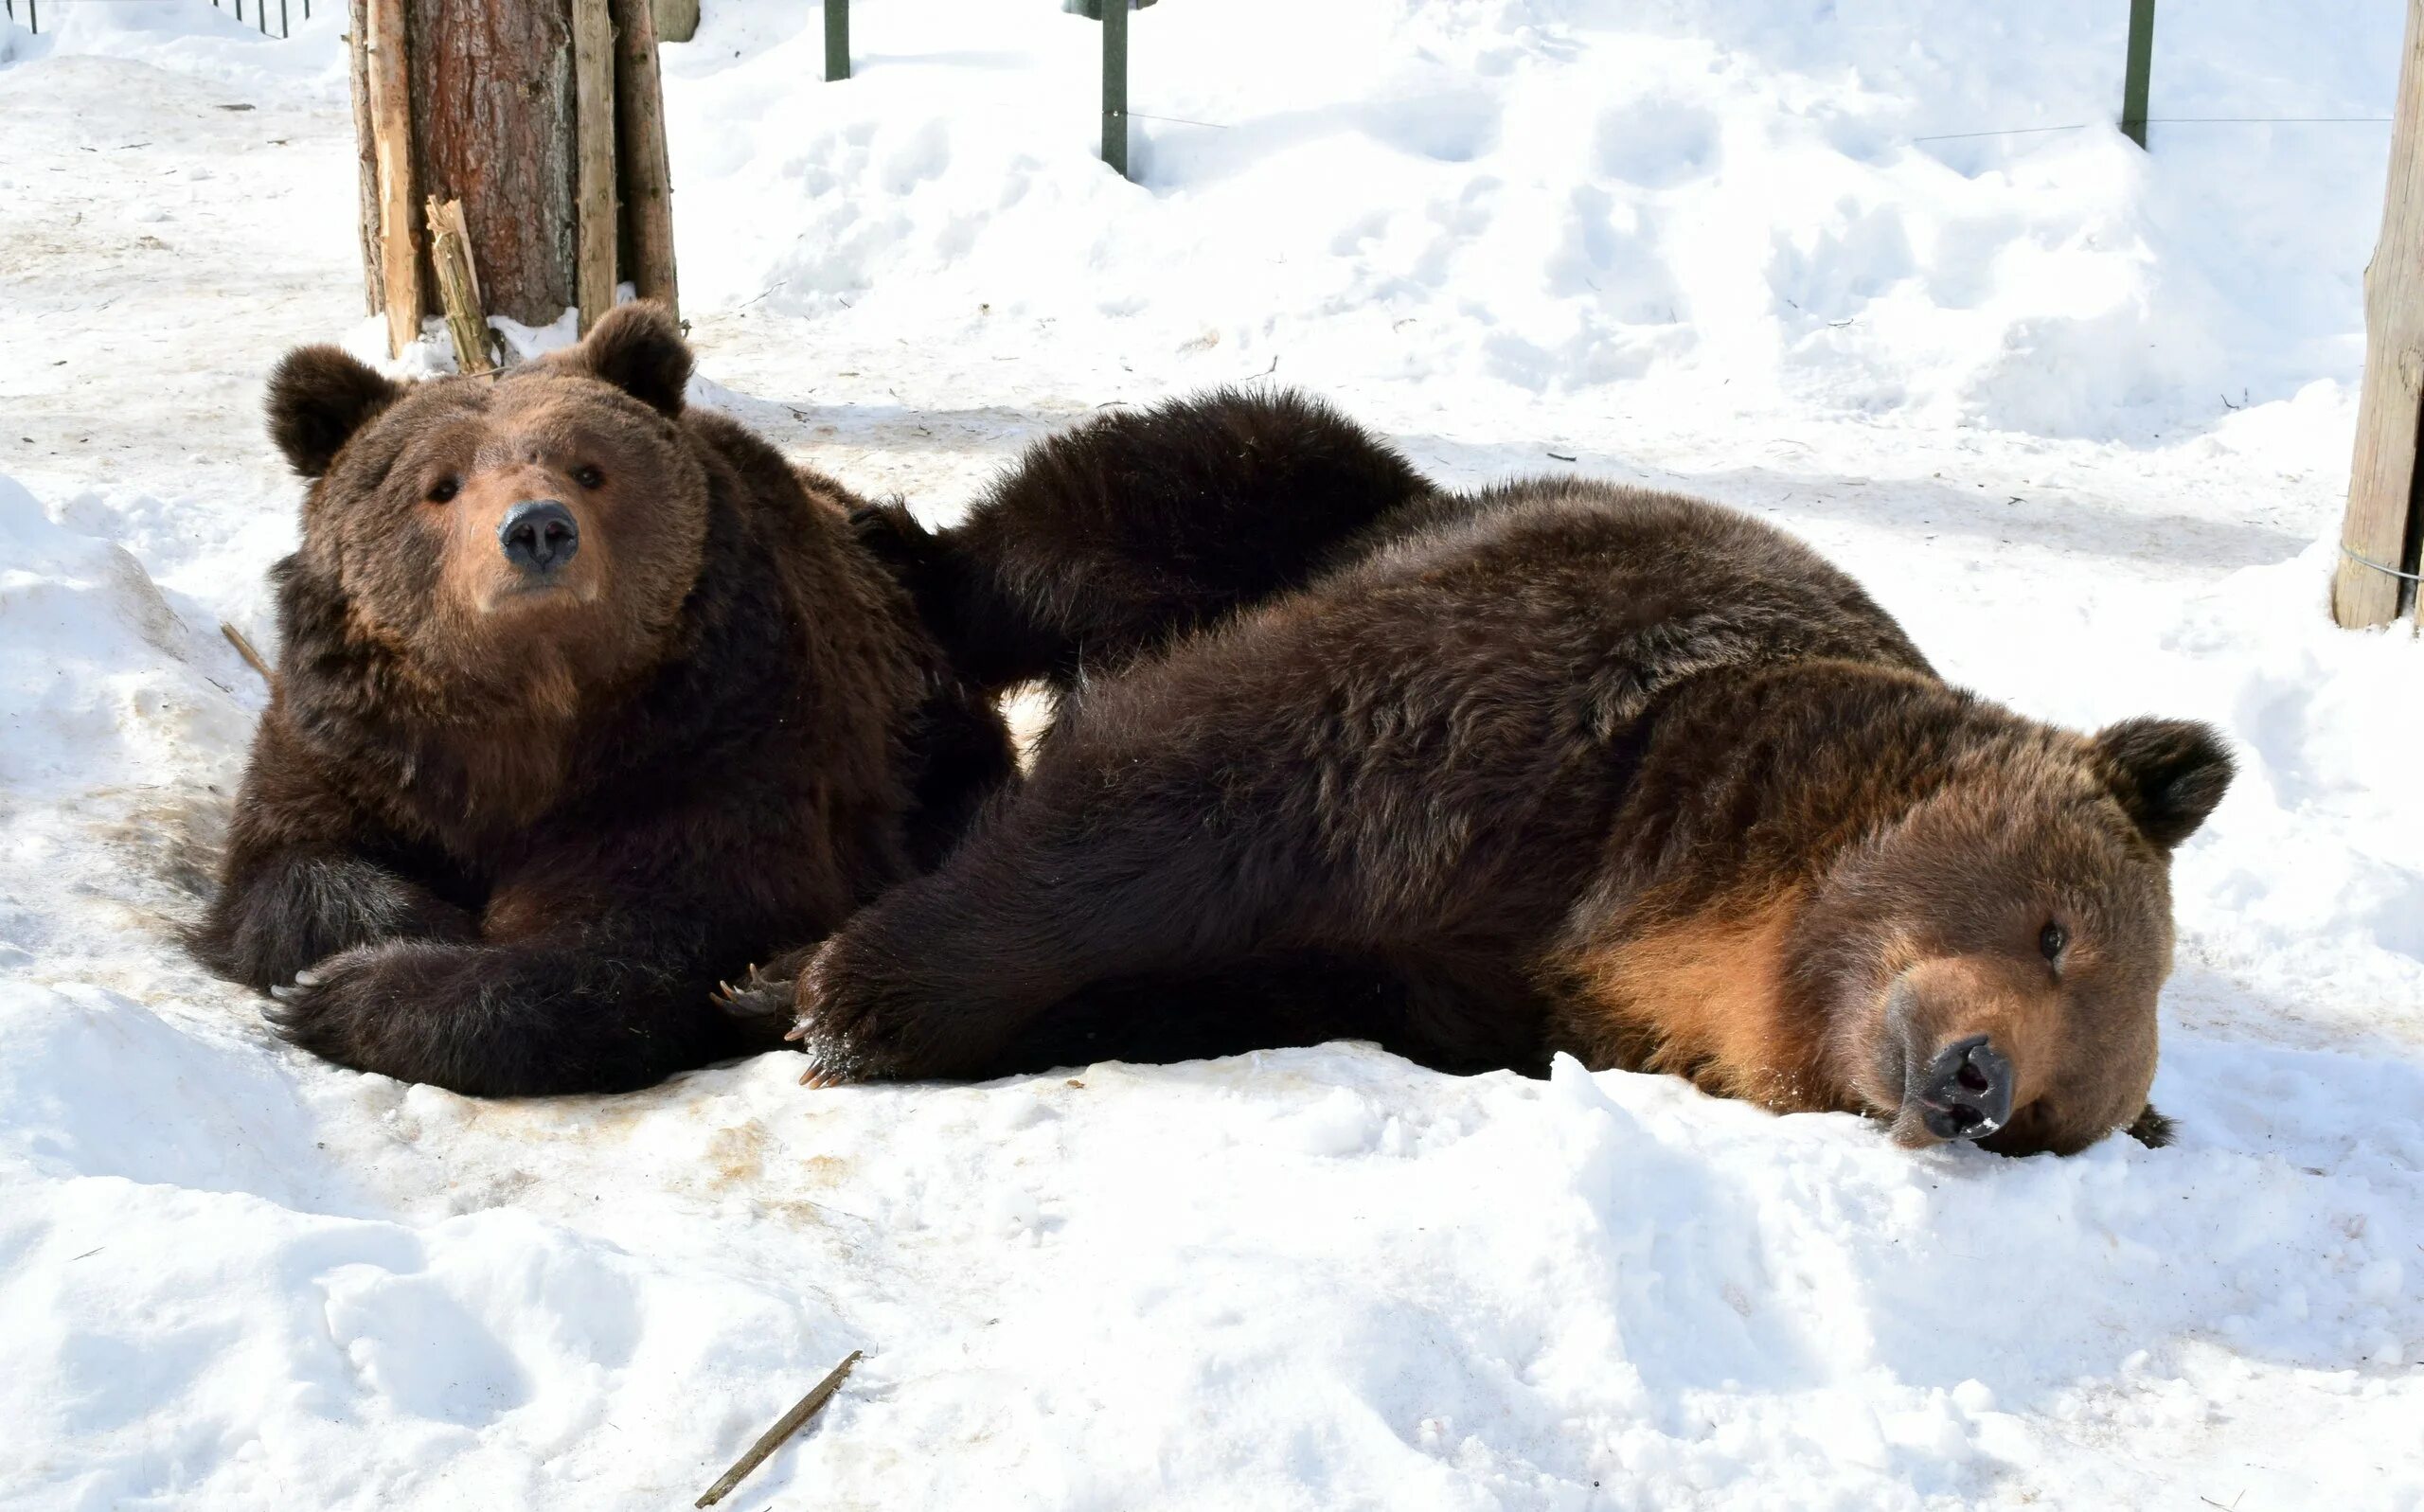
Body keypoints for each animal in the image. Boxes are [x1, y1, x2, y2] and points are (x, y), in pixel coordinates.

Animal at [193, 301, 1013, 1090]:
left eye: (588, 469)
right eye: (442, 484)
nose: (536, 528)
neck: (536, 714)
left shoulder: (708, 742)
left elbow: (647, 940)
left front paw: (343, 992)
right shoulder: (357, 741)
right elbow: (285, 865)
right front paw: (387, 933)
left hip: (927, 733)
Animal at [760, 390, 2230, 1158]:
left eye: (2056, 1114)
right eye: (2058, 930)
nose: (1978, 1081)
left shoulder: (1465, 984)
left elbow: (1212, 974)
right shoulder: (1555, 710)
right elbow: (1198, 779)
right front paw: (841, 989)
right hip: (1318, 505)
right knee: (1108, 507)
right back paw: (888, 550)